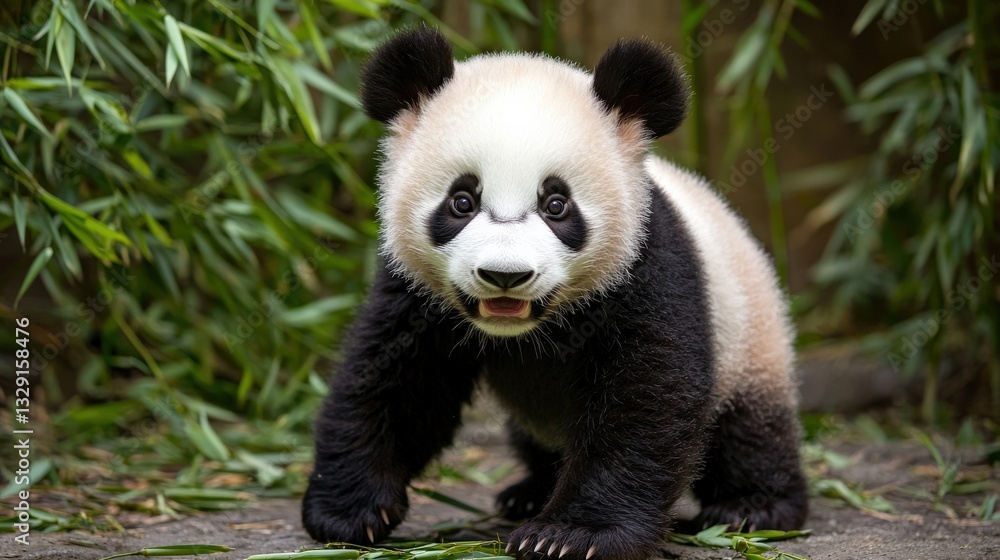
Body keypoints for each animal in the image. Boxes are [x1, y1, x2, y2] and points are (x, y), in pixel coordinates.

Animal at [303, 28, 808, 560]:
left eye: (556, 204)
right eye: (462, 201)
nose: (504, 275)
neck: (528, 329)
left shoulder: (647, 268)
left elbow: (646, 399)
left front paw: (572, 535)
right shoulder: (416, 294)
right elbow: (399, 379)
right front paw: (349, 510)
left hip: (746, 328)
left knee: (750, 429)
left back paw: (753, 507)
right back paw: (527, 492)